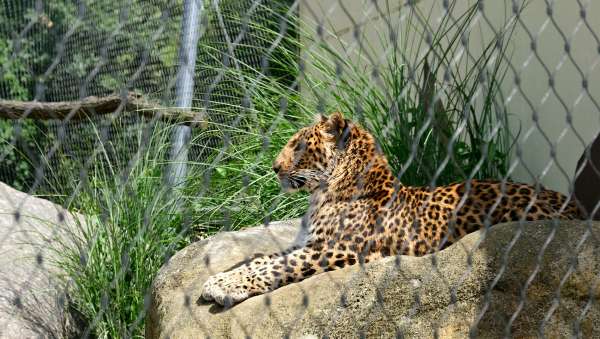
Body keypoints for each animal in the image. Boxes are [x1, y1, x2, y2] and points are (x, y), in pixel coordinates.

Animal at [200, 112, 580, 308]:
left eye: (300, 146)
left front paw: (225, 285)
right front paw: (220, 279)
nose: (275, 168)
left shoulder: (336, 249)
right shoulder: (308, 243)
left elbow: (278, 265)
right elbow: (265, 259)